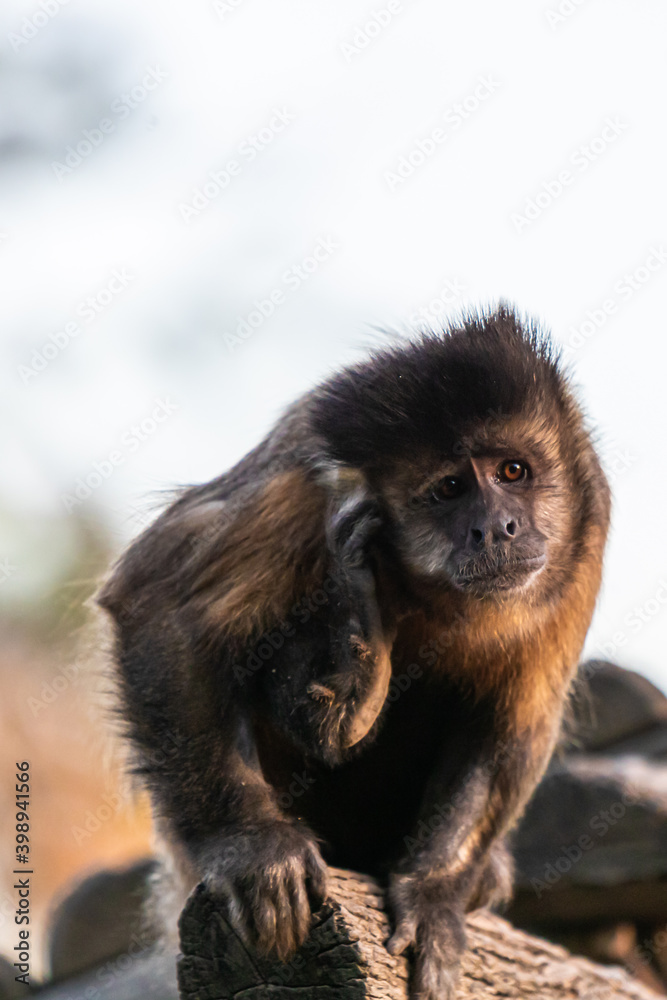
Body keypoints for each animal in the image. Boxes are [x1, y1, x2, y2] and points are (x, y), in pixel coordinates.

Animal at [98, 306, 612, 1000]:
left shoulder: (588, 529)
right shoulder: (308, 489)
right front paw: (251, 846)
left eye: (513, 472)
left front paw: (435, 893)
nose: (496, 528)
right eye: (451, 488)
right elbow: (158, 603)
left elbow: (508, 723)